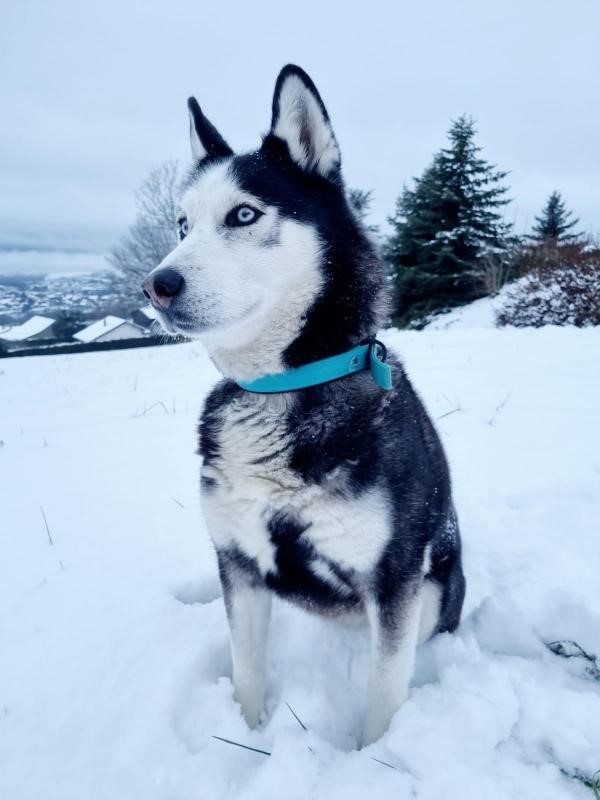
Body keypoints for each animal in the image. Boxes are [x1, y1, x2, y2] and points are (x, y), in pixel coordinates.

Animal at [143, 65, 466, 748]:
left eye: (243, 213)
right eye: (182, 225)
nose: (156, 285)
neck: (281, 387)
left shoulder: (395, 581)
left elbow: (384, 692)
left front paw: (373, 756)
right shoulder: (237, 561)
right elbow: (246, 670)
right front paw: (246, 731)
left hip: (433, 594)